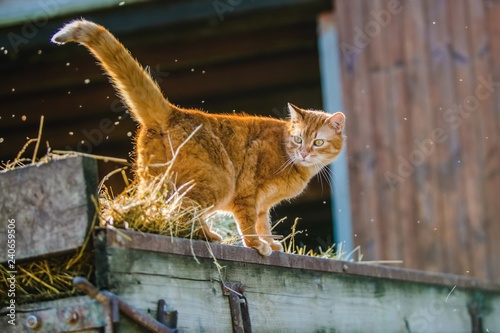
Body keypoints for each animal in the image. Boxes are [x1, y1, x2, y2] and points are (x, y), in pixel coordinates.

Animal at [52, 19, 346, 255]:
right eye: (298, 140)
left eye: (317, 142)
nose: (305, 152)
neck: (288, 157)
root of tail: (173, 111)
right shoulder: (247, 195)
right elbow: (249, 226)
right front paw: (257, 246)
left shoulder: (262, 206)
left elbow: (263, 223)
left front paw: (270, 243)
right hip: (218, 181)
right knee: (184, 211)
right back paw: (206, 236)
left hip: (157, 181)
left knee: (158, 208)